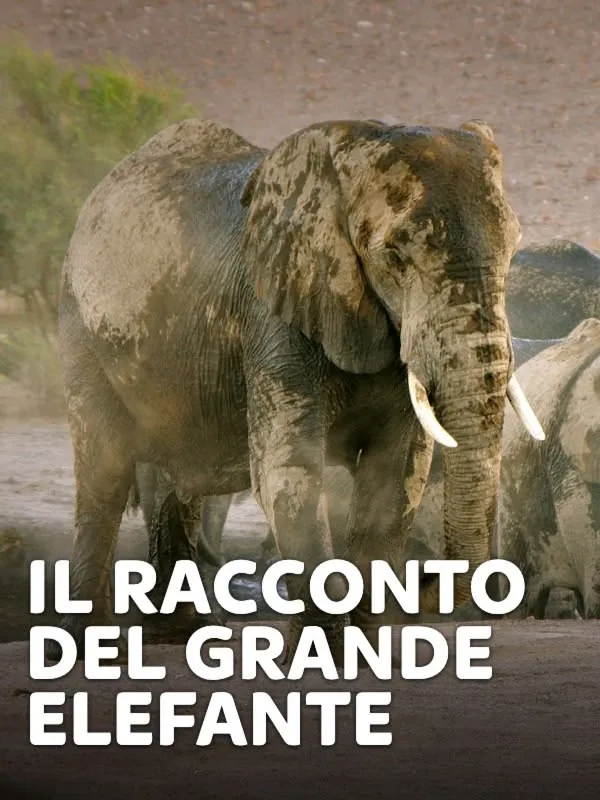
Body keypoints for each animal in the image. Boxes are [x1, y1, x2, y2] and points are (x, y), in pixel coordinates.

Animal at [56, 115, 544, 663]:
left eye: (512, 248)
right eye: (395, 254)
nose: (429, 584)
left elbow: (395, 476)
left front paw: (371, 656)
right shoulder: (272, 311)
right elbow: (290, 468)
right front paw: (319, 657)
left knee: (176, 474)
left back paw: (184, 635)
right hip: (81, 327)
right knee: (105, 472)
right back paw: (89, 649)